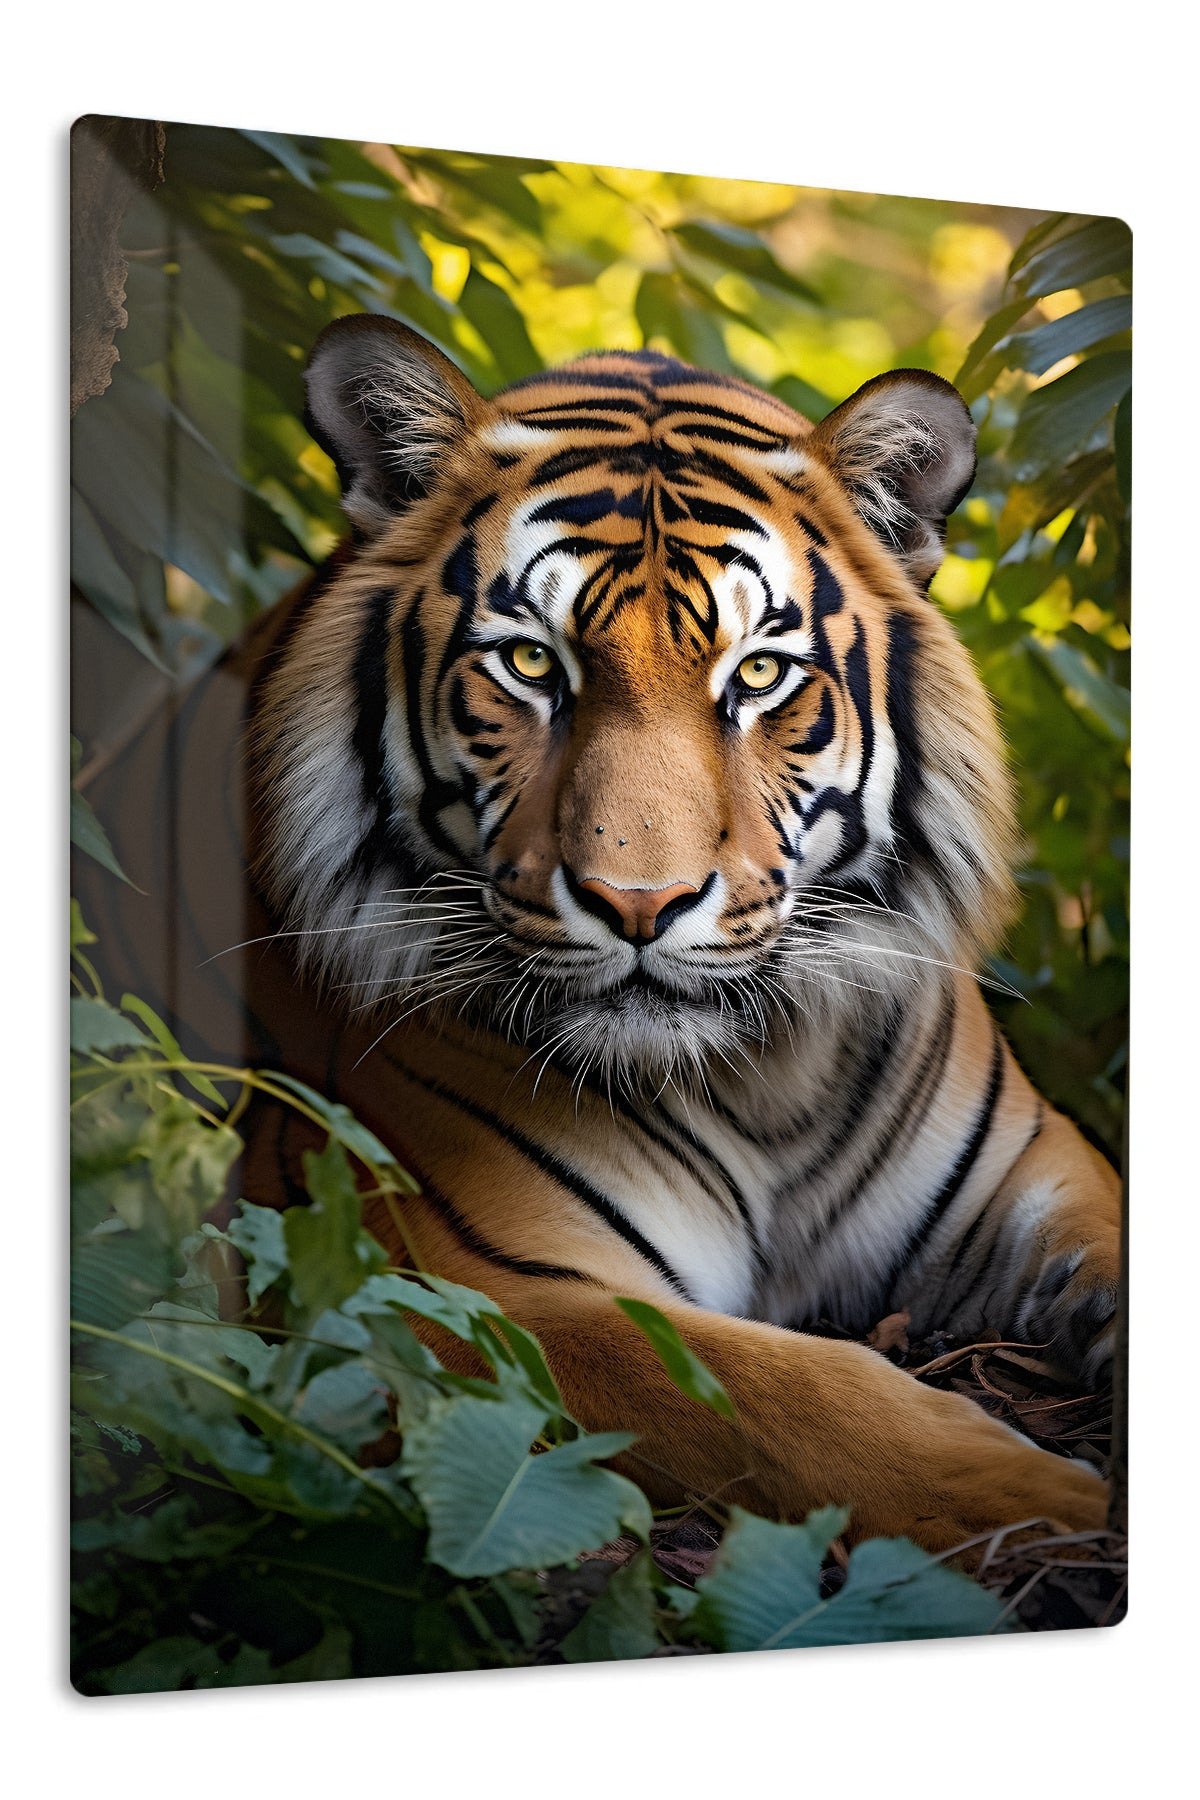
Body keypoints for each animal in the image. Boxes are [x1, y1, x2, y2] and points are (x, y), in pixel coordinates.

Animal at [79, 316, 1122, 1554]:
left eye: (758, 674)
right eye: (532, 663)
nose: (637, 903)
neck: (768, 1077)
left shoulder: (1040, 1180)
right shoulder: (427, 1283)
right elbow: (766, 1397)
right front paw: (1043, 1498)